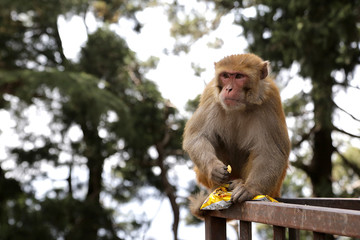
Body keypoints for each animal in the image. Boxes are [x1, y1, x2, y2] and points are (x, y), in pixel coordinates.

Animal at [183, 53, 290, 218]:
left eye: (239, 76)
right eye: (226, 75)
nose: (228, 89)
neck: (242, 106)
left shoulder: (270, 100)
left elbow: (271, 152)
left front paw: (250, 188)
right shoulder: (211, 95)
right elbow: (197, 136)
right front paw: (214, 168)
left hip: (272, 187)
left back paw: (240, 183)